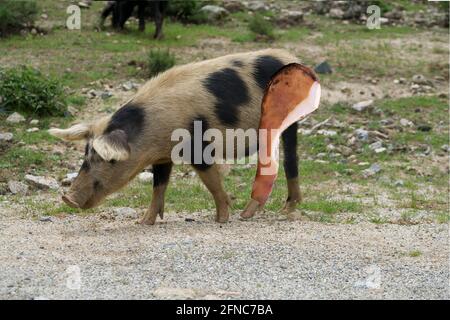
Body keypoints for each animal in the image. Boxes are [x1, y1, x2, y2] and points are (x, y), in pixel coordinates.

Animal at [49, 49, 310, 225]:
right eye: (86, 156)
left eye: (110, 160)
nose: (67, 198)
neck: (150, 130)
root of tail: (292, 58)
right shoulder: (162, 157)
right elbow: (159, 186)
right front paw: (144, 222)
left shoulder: (197, 146)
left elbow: (212, 182)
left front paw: (221, 219)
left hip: (288, 123)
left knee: (289, 161)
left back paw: (278, 211)